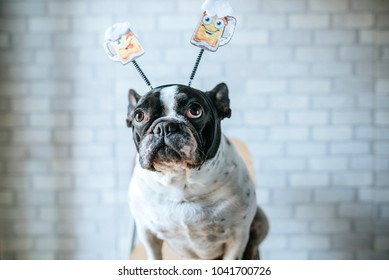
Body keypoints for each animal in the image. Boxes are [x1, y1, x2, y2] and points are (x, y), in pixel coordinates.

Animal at [126, 83, 268, 260]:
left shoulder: (237, 237)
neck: (181, 182)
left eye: (194, 111)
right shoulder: (147, 234)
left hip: (260, 221)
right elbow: (154, 256)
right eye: (139, 116)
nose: (164, 126)